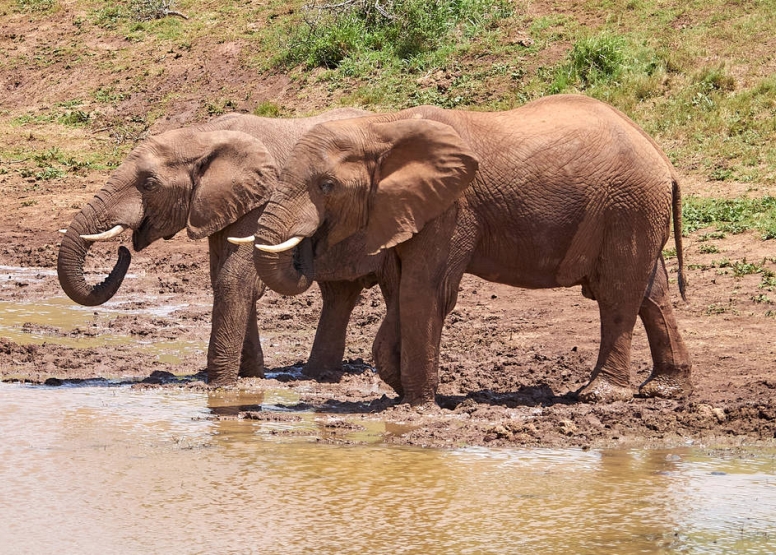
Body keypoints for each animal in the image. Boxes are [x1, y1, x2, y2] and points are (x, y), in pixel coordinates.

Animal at [55, 108, 372, 386]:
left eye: (149, 184)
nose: (123, 251)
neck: (203, 135)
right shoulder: (220, 203)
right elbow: (222, 274)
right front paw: (250, 377)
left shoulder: (265, 199)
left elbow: (235, 277)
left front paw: (220, 387)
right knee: (340, 293)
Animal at [242, 94, 692, 408]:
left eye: (327, 186)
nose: (308, 247)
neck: (380, 127)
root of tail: (663, 159)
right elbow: (403, 289)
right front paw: (401, 386)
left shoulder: (451, 208)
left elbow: (425, 290)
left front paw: (417, 406)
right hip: (636, 210)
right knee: (652, 292)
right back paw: (664, 390)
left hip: (627, 206)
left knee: (617, 293)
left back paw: (599, 396)